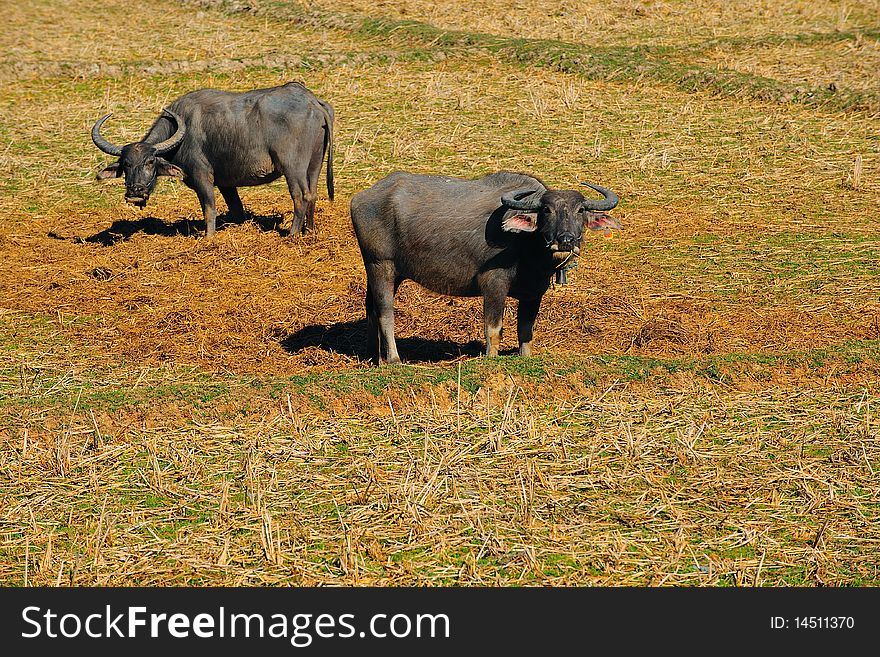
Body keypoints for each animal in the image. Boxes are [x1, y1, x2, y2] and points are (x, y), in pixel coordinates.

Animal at [91, 81, 334, 236]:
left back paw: (292, 234)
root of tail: (312, 101)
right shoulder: (226, 184)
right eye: (126, 164)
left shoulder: (202, 177)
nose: (135, 192)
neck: (182, 131)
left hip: (292, 166)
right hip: (315, 164)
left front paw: (208, 237)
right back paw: (309, 231)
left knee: (301, 196)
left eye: (150, 162)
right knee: (313, 194)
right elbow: (236, 209)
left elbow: (209, 208)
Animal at [348, 169, 624, 364]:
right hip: (381, 265)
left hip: (387, 273)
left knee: (371, 310)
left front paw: (525, 356)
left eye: (580, 210)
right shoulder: (493, 284)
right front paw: (491, 357)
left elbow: (526, 331)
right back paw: (394, 359)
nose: (565, 240)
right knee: (386, 313)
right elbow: (493, 329)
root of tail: (362, 198)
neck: (526, 246)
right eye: (547, 210)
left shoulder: (533, 293)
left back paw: (375, 358)